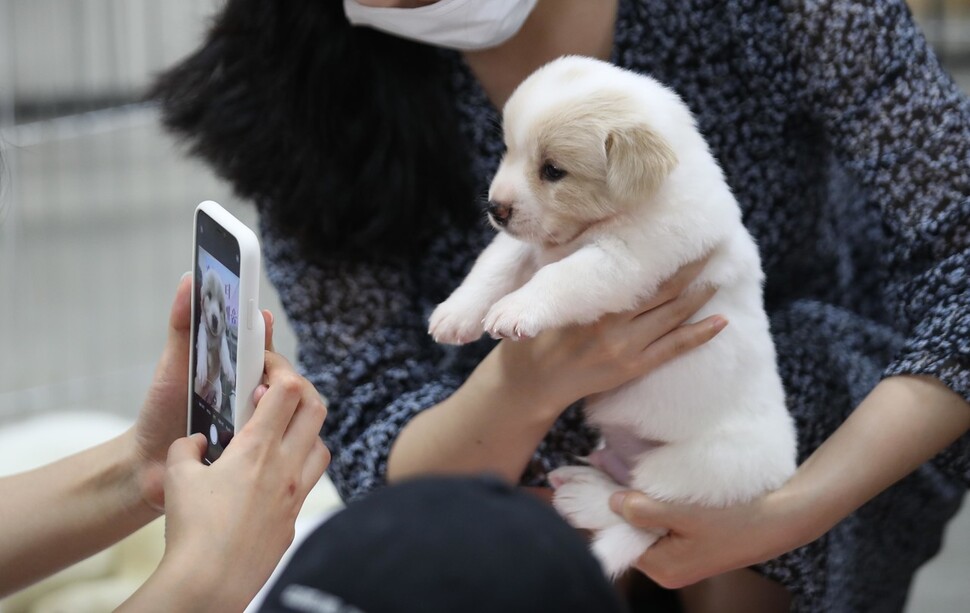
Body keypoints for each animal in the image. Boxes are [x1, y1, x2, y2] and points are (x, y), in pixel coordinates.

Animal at [196, 266, 235, 416]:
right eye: (209, 295)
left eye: (220, 306)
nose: (215, 319)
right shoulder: (202, 330)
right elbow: (202, 346)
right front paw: (202, 369)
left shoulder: (221, 338)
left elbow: (225, 351)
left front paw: (230, 371)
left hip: (218, 390)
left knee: (217, 401)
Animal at [430, 57, 796, 580]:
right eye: (508, 151)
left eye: (553, 170)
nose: (495, 208)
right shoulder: (528, 243)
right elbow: (494, 263)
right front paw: (456, 313)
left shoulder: (621, 262)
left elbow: (561, 276)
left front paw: (517, 309)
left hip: (693, 469)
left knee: (638, 507)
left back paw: (585, 496)